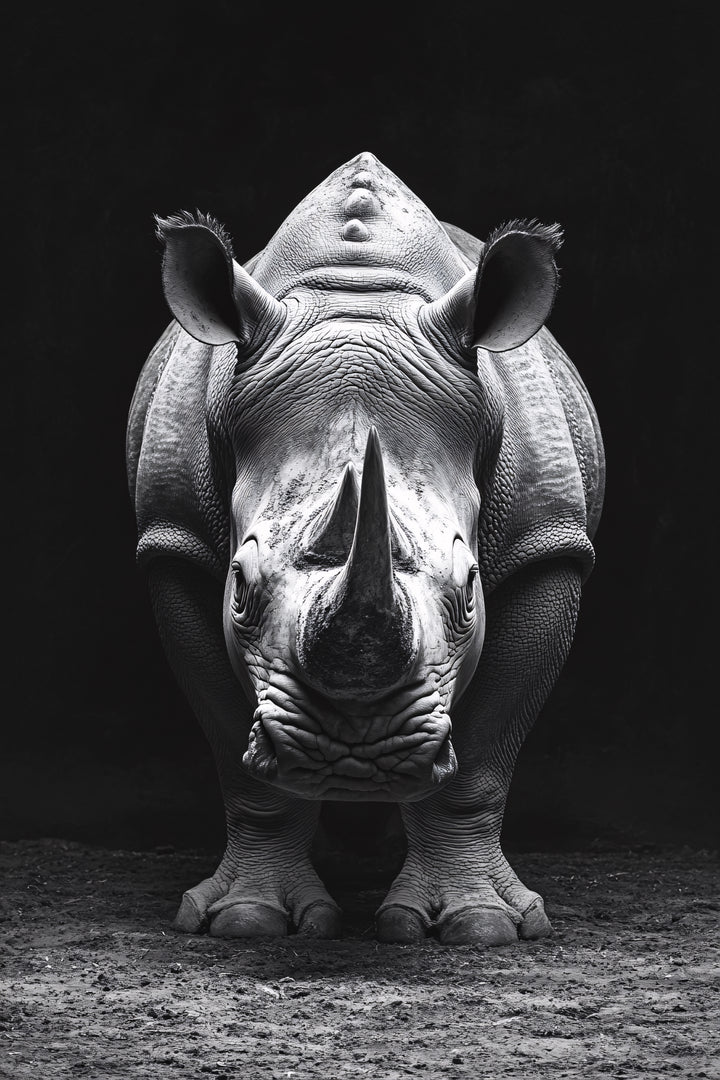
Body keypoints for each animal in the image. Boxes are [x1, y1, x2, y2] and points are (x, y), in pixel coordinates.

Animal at [126, 151, 604, 945]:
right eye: (239, 585)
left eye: (470, 588)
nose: (355, 756)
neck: (357, 299)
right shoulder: (174, 542)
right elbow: (238, 758)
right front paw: (249, 920)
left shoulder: (549, 543)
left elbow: (481, 761)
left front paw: (480, 926)